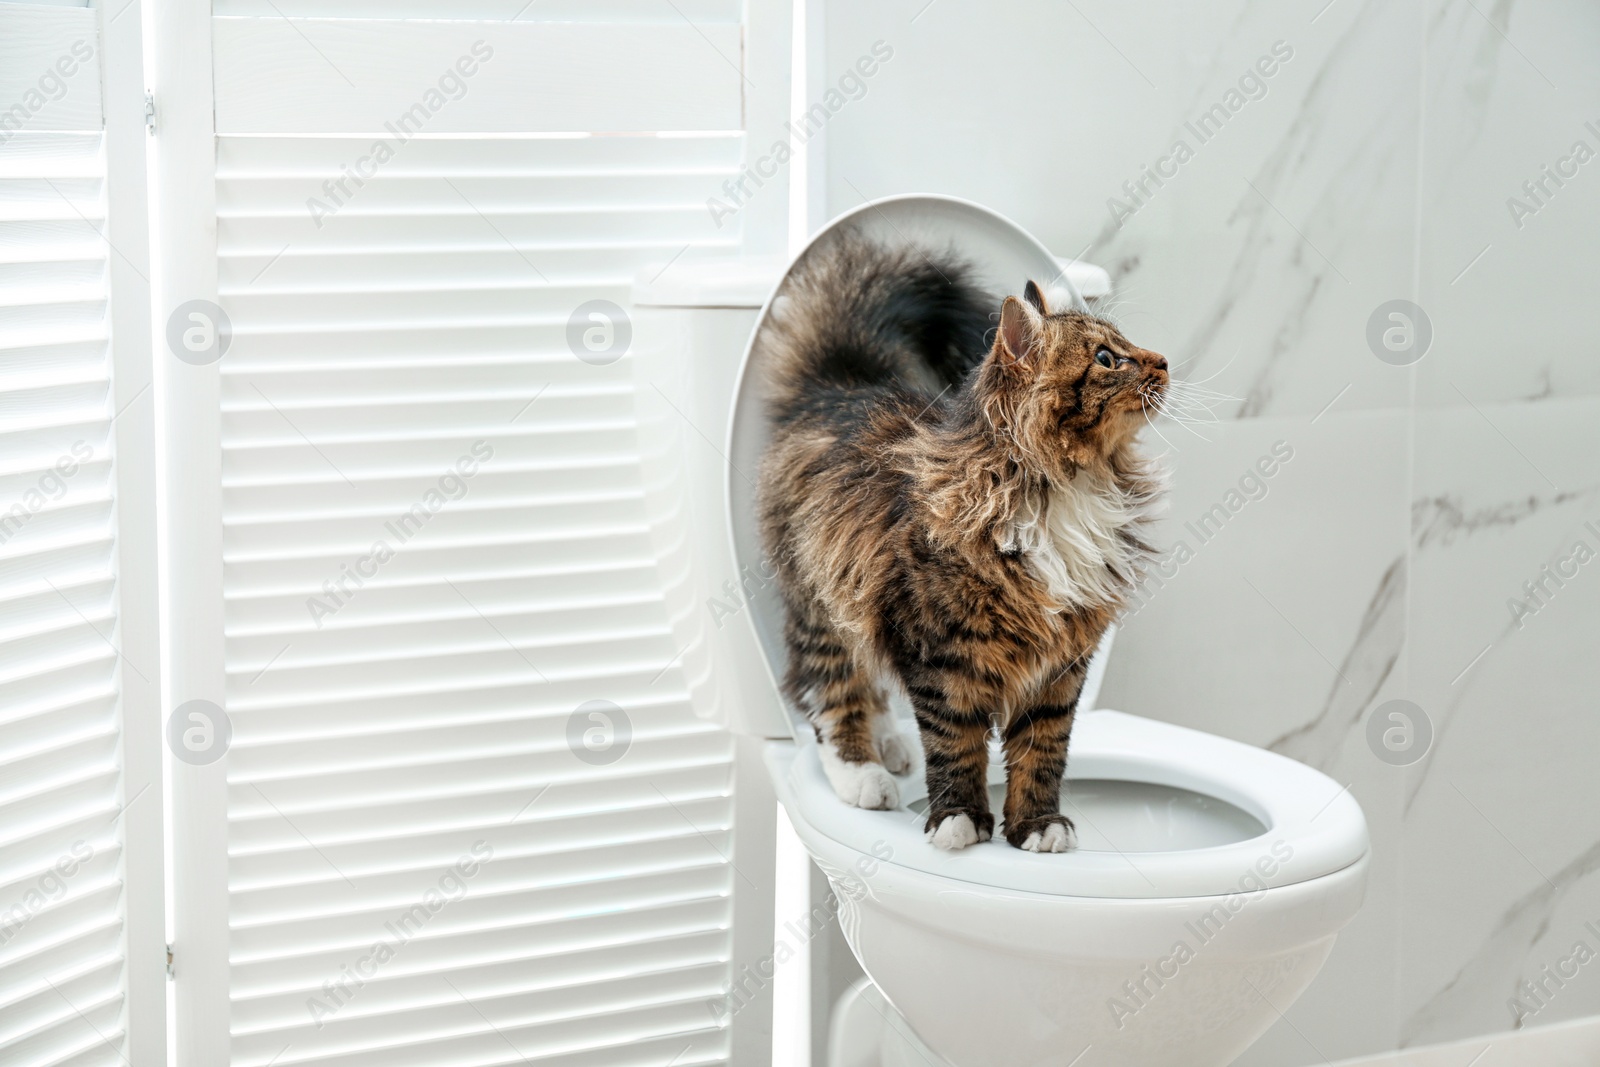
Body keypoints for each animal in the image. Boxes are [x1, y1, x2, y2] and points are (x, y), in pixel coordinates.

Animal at [755, 230, 1171, 857]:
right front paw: (959, 821)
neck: (1067, 489)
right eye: (1106, 358)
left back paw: (889, 746)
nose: (1164, 361)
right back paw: (864, 773)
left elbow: (1042, 751)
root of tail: (843, 384)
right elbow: (956, 744)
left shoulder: (1063, 660)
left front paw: (1037, 826)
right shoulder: (940, 651)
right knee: (831, 691)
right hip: (823, 598)